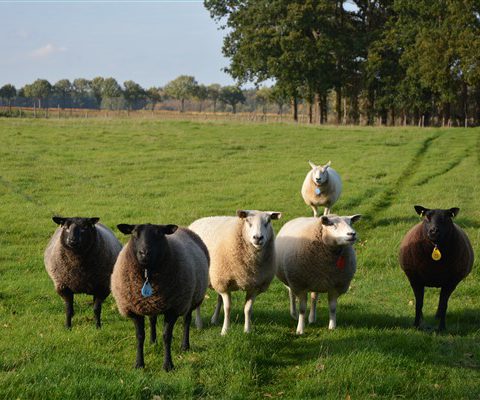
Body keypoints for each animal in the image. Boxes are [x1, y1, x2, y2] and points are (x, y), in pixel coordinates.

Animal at [112, 223, 210, 370]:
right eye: (134, 233)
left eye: (159, 234)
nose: (144, 253)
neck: (147, 274)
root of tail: (184, 228)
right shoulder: (134, 309)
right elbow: (139, 336)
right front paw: (139, 364)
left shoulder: (173, 309)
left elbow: (166, 336)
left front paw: (168, 365)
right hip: (152, 304)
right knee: (152, 319)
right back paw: (153, 341)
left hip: (190, 298)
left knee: (186, 321)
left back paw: (185, 346)